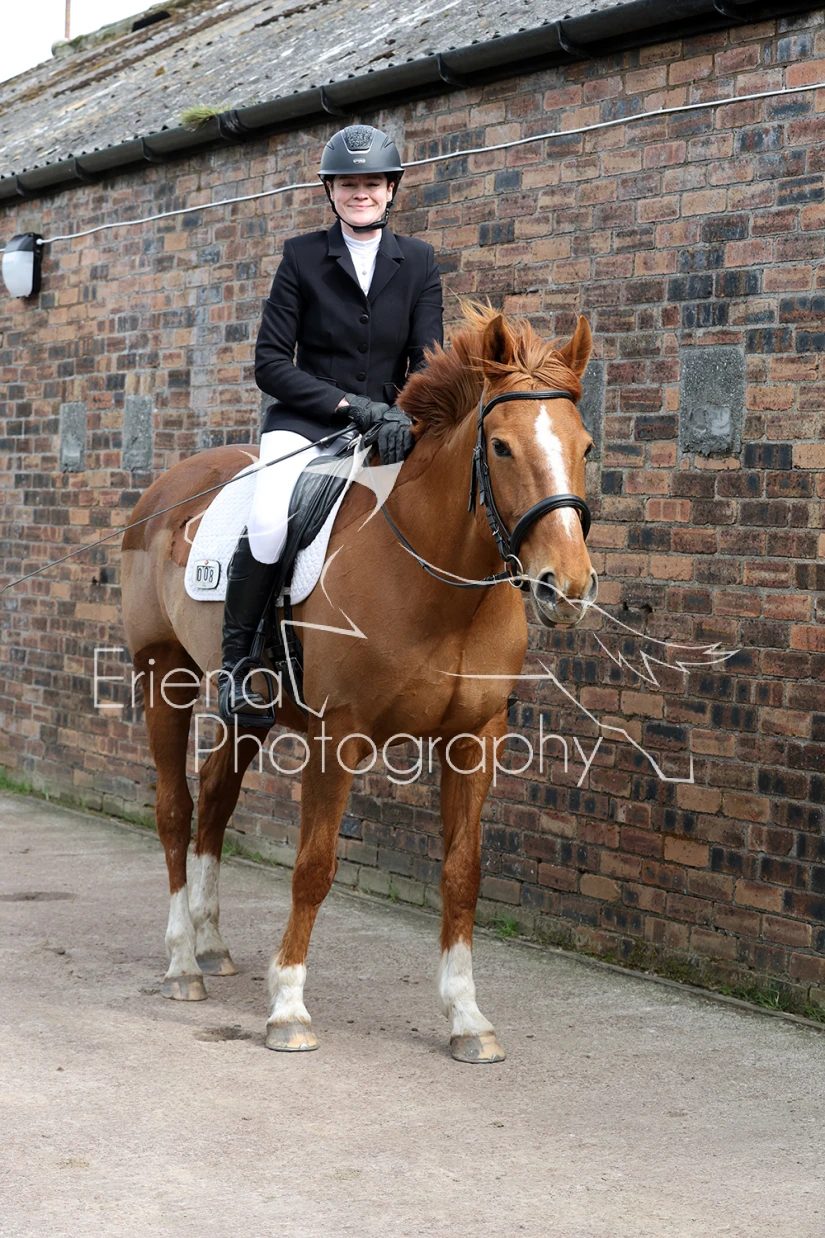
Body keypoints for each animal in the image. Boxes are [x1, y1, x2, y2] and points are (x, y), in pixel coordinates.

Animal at [120, 304, 597, 1062]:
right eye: (499, 447)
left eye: (585, 445)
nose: (567, 587)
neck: (437, 579)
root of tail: (168, 489)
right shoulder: (336, 735)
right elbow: (314, 865)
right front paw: (288, 1008)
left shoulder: (475, 737)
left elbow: (462, 874)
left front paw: (467, 1017)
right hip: (161, 675)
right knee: (173, 810)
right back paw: (181, 963)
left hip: (242, 708)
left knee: (215, 805)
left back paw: (212, 945)